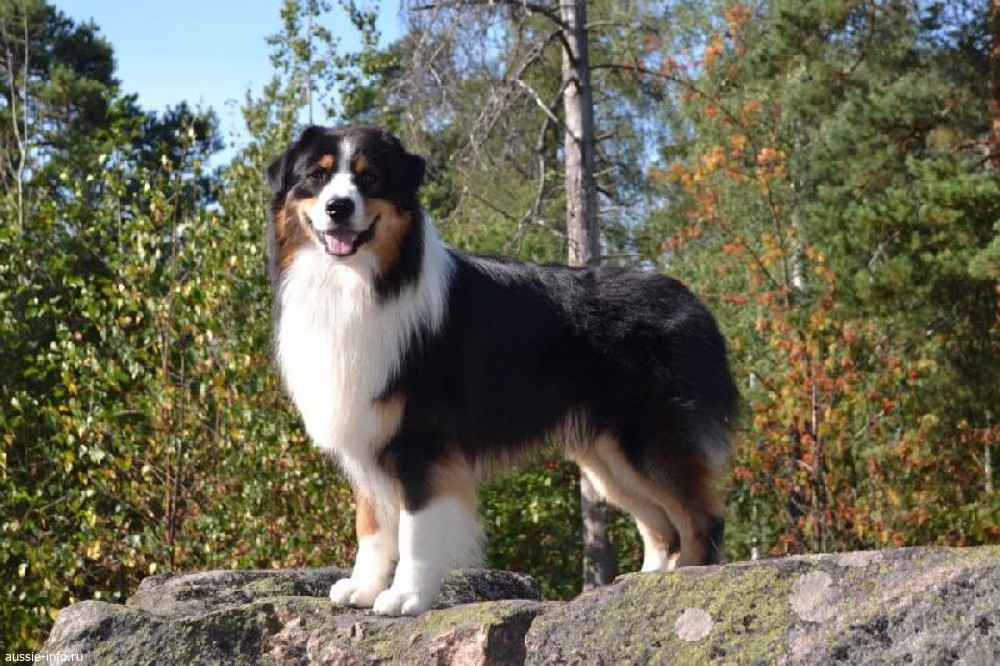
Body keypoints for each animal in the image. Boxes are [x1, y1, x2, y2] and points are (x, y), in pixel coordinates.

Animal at [265, 126, 738, 616]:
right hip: (608, 455)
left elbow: (415, 528)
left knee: (702, 519)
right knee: (661, 526)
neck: (362, 281)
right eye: (316, 176)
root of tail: (695, 305)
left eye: (370, 177)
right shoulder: (369, 428)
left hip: (648, 440)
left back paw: (682, 586)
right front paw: (362, 588)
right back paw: (639, 586)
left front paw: (405, 596)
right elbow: (372, 522)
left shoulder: (422, 441)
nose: (338, 207)